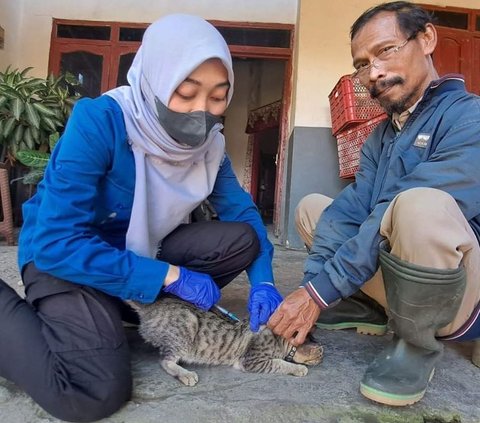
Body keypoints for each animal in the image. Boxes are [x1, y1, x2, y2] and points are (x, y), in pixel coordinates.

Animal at [128, 296, 322, 386]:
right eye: (320, 354)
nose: (322, 357)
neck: (278, 338)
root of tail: (150, 308)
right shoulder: (252, 361)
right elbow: (279, 363)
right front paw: (298, 368)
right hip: (187, 324)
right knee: (165, 361)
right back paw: (186, 374)